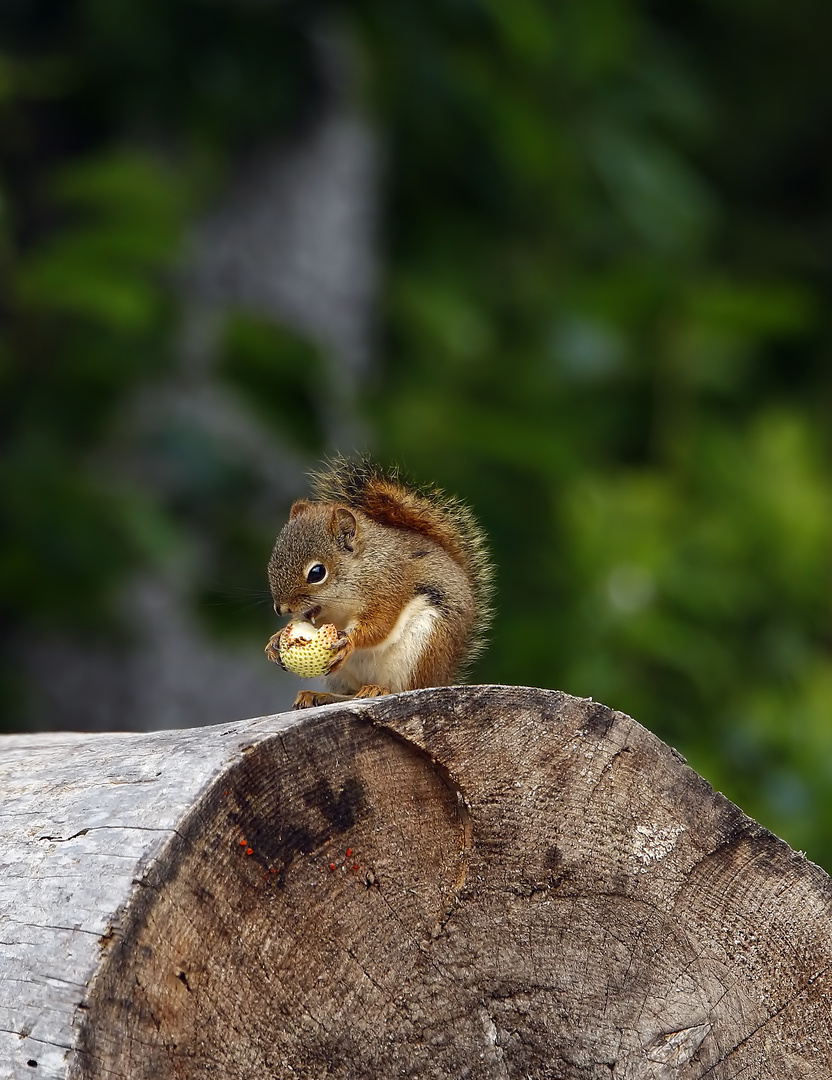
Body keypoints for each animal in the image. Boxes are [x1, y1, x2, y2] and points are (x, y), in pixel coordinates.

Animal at [263, 455, 492, 708]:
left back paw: (377, 690)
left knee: (404, 688)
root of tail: (442, 678)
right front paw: (275, 640)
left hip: (423, 646)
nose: (281, 608)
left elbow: (379, 626)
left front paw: (349, 641)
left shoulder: (390, 586)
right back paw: (320, 696)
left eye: (317, 573)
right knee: (351, 693)